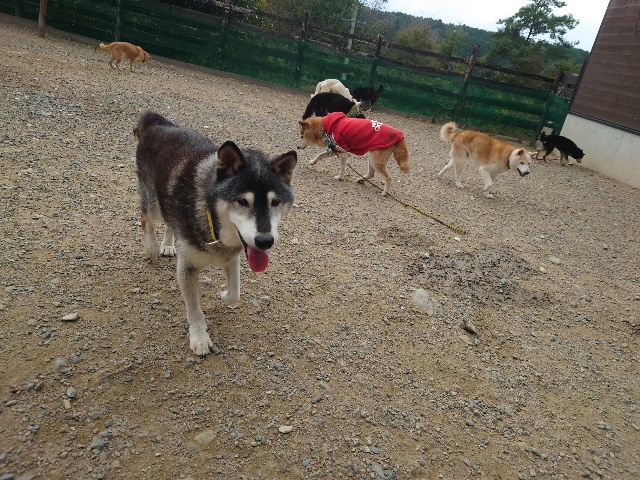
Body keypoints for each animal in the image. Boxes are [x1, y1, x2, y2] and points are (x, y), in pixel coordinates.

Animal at [134, 111, 297, 356]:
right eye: (242, 201)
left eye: (275, 202)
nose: (265, 241)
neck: (212, 218)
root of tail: (158, 123)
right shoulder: (187, 268)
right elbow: (194, 310)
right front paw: (200, 338)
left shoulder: (232, 257)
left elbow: (235, 293)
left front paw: (223, 294)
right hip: (154, 205)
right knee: (145, 217)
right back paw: (152, 247)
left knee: (170, 222)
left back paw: (167, 245)